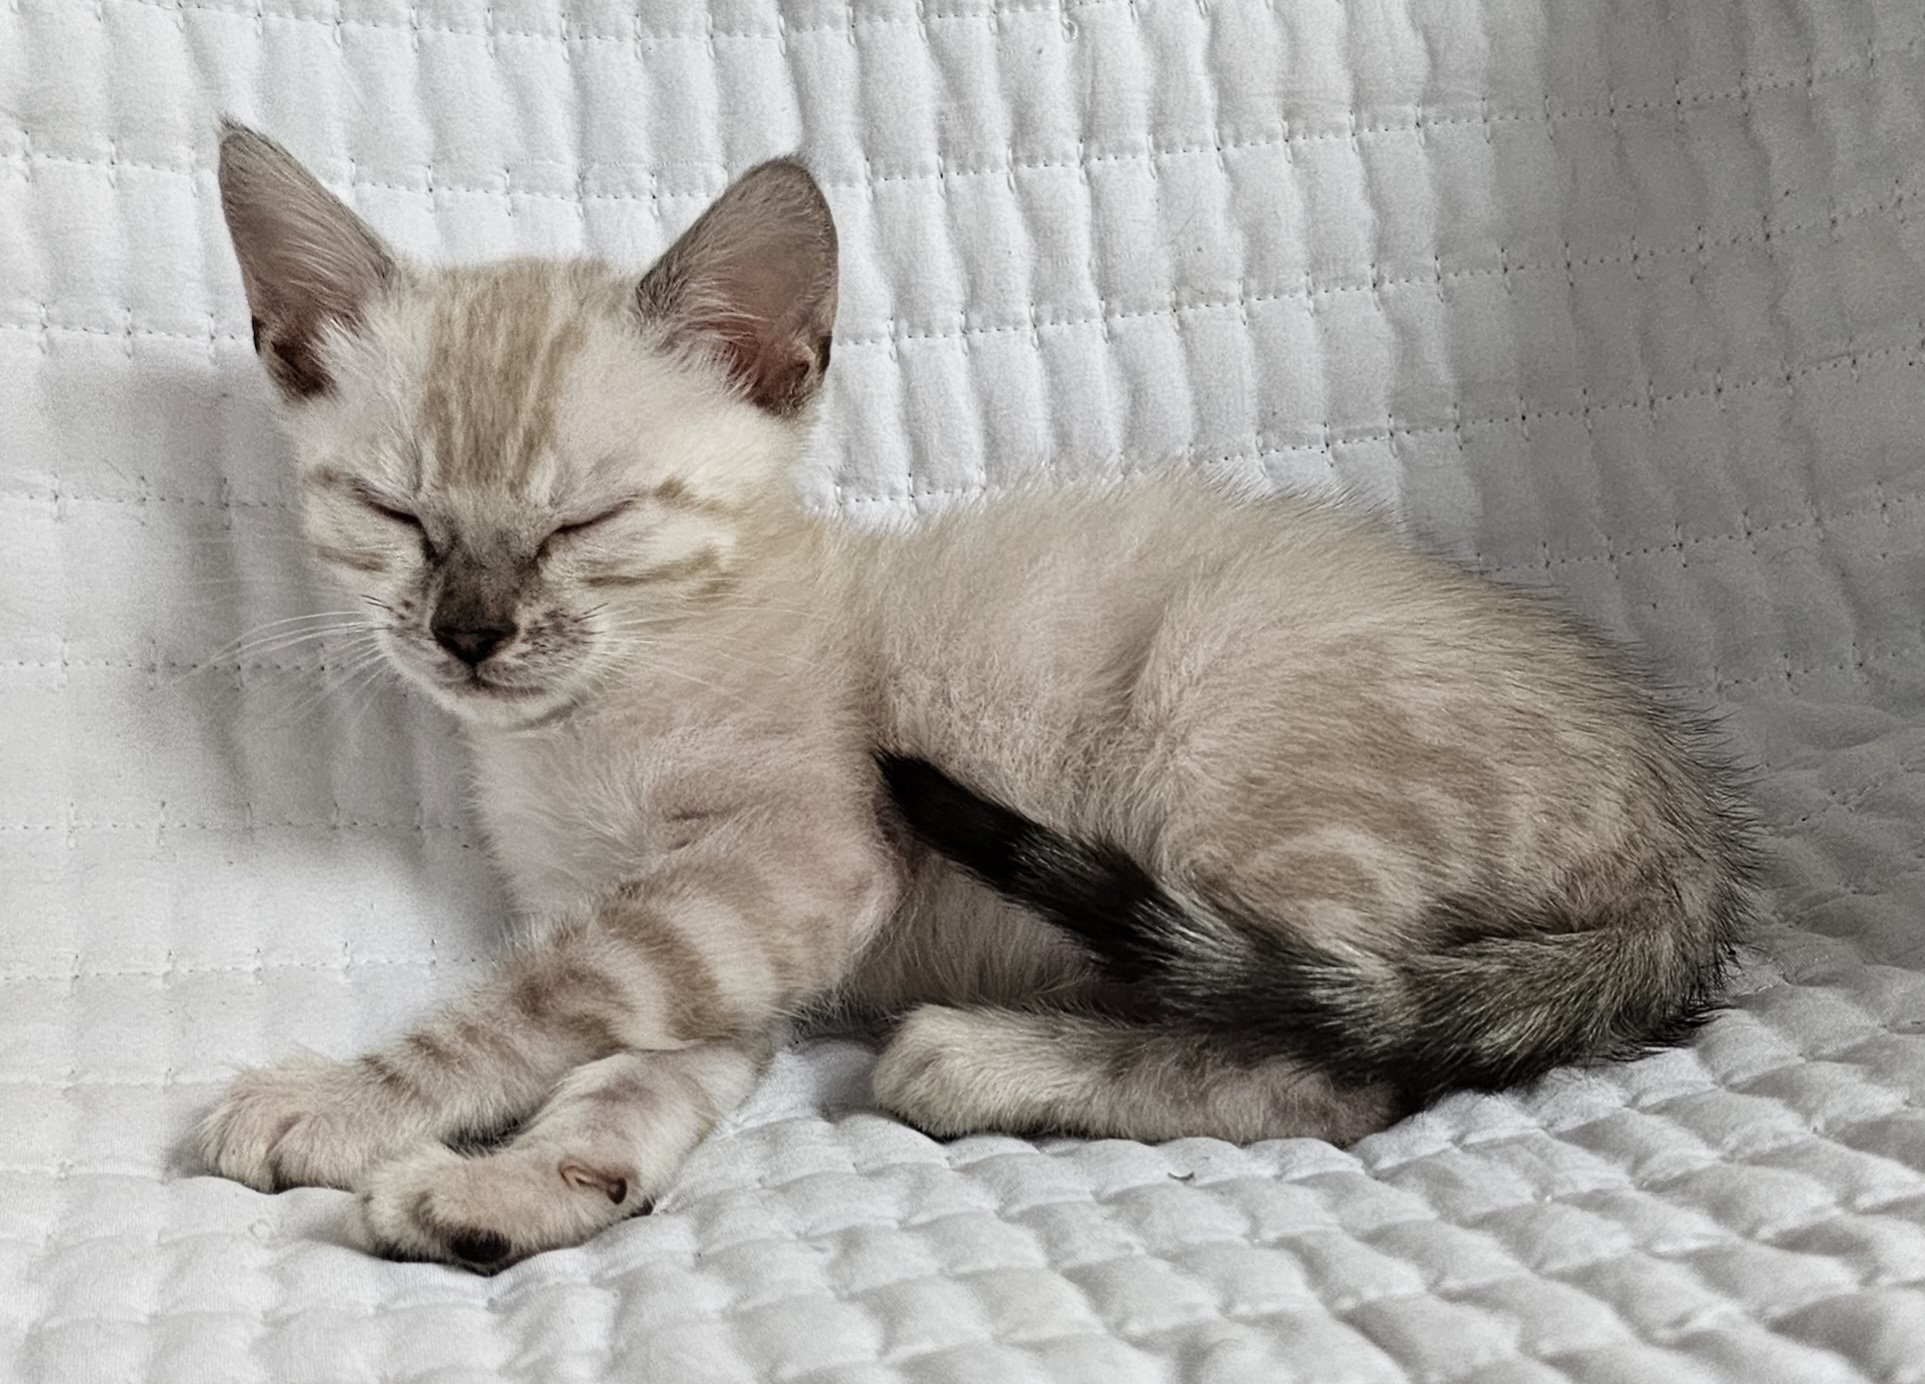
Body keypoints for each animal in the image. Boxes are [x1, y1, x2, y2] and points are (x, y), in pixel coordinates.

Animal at [200, 122, 1757, 1273]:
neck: (584, 729)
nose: (469, 632)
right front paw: (524, 1188)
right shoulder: (731, 947)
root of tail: (1686, 848)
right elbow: (636, 1071)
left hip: (1230, 754)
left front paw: (344, 1102)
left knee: (1339, 1071)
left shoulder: (794, 864)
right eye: (394, 514)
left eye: (587, 521)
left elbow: (540, 999)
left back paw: (978, 1060)